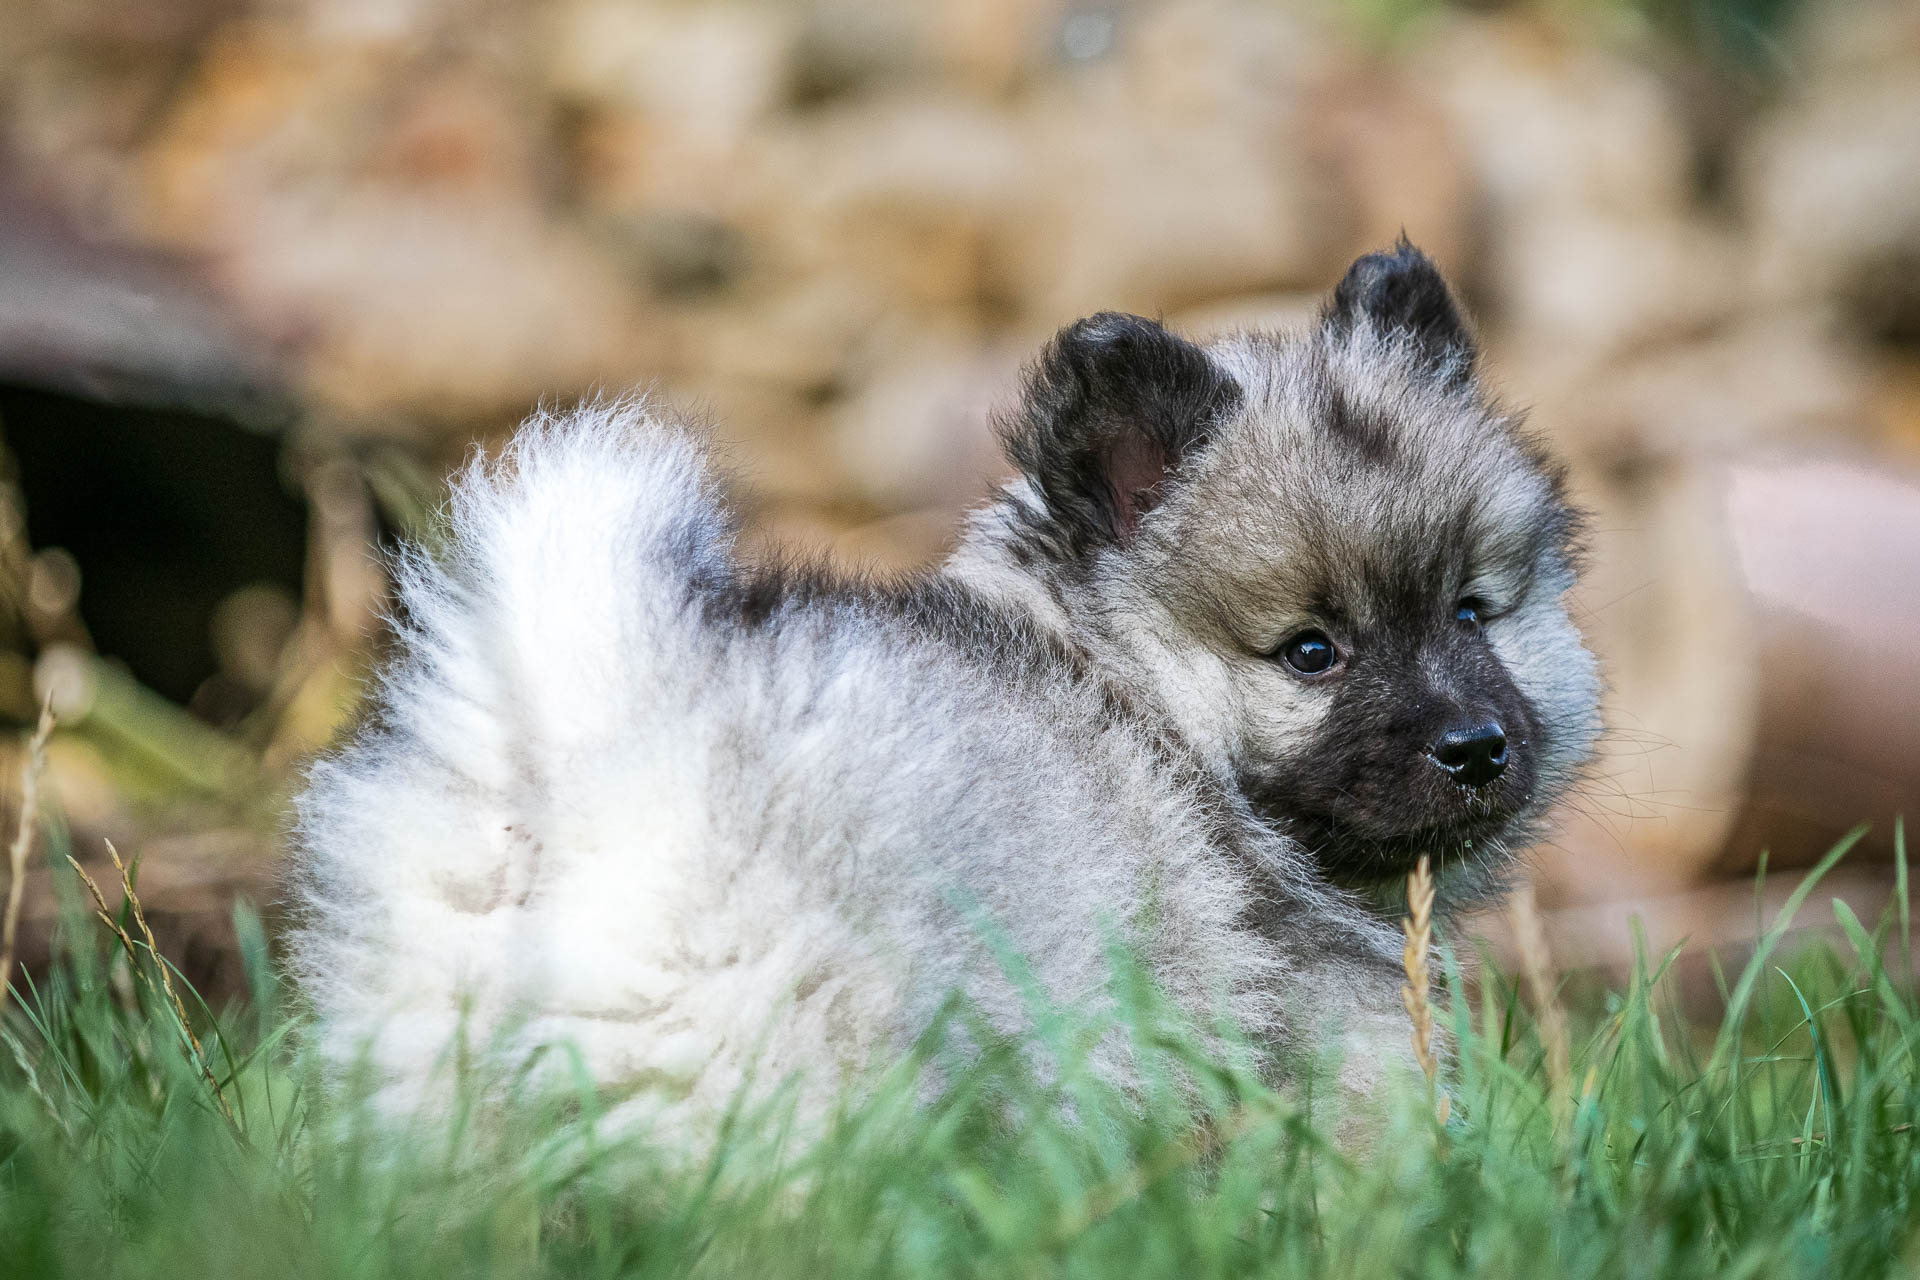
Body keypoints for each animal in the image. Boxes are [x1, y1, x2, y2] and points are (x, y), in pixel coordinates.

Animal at [288, 242, 1605, 1143]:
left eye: (1473, 612)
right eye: (1312, 651)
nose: (1477, 745)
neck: (1142, 701)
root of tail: (595, 714)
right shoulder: (1338, 1031)